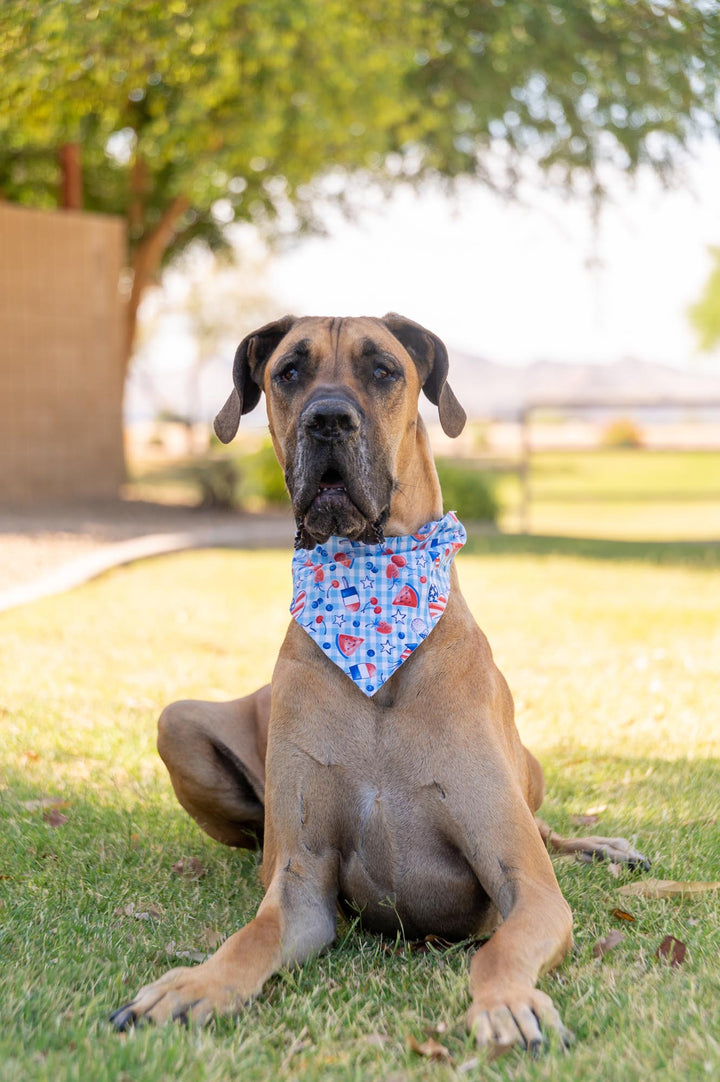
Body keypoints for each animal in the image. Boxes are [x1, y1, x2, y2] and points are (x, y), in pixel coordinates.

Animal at [110, 315, 645, 1056]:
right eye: (289, 372)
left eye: (384, 370)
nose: (329, 420)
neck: (373, 599)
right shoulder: (302, 885)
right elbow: (254, 937)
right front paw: (196, 984)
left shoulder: (528, 886)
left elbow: (501, 947)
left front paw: (507, 1002)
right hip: (177, 722)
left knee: (544, 829)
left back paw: (603, 848)